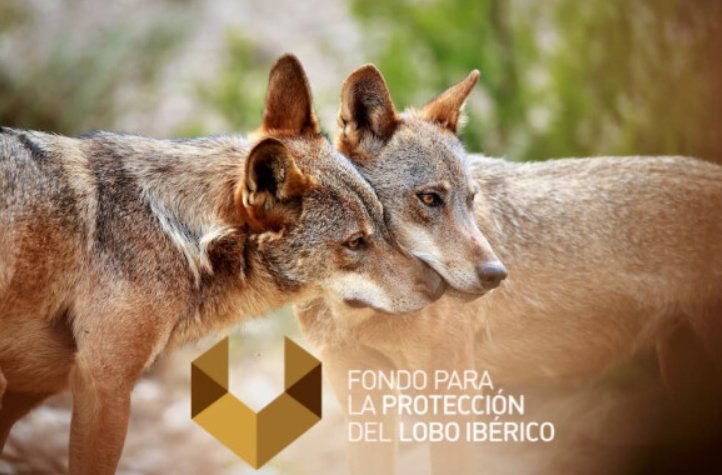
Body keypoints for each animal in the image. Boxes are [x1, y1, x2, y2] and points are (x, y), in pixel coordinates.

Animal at [0, 55, 444, 474]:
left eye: (383, 221)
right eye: (355, 242)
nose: (438, 285)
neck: (177, 232)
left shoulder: (33, 384)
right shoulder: (104, 382)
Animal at [298, 64, 722, 475]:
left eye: (471, 199)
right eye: (430, 199)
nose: (496, 274)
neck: (358, 309)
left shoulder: (453, 395)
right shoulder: (363, 398)